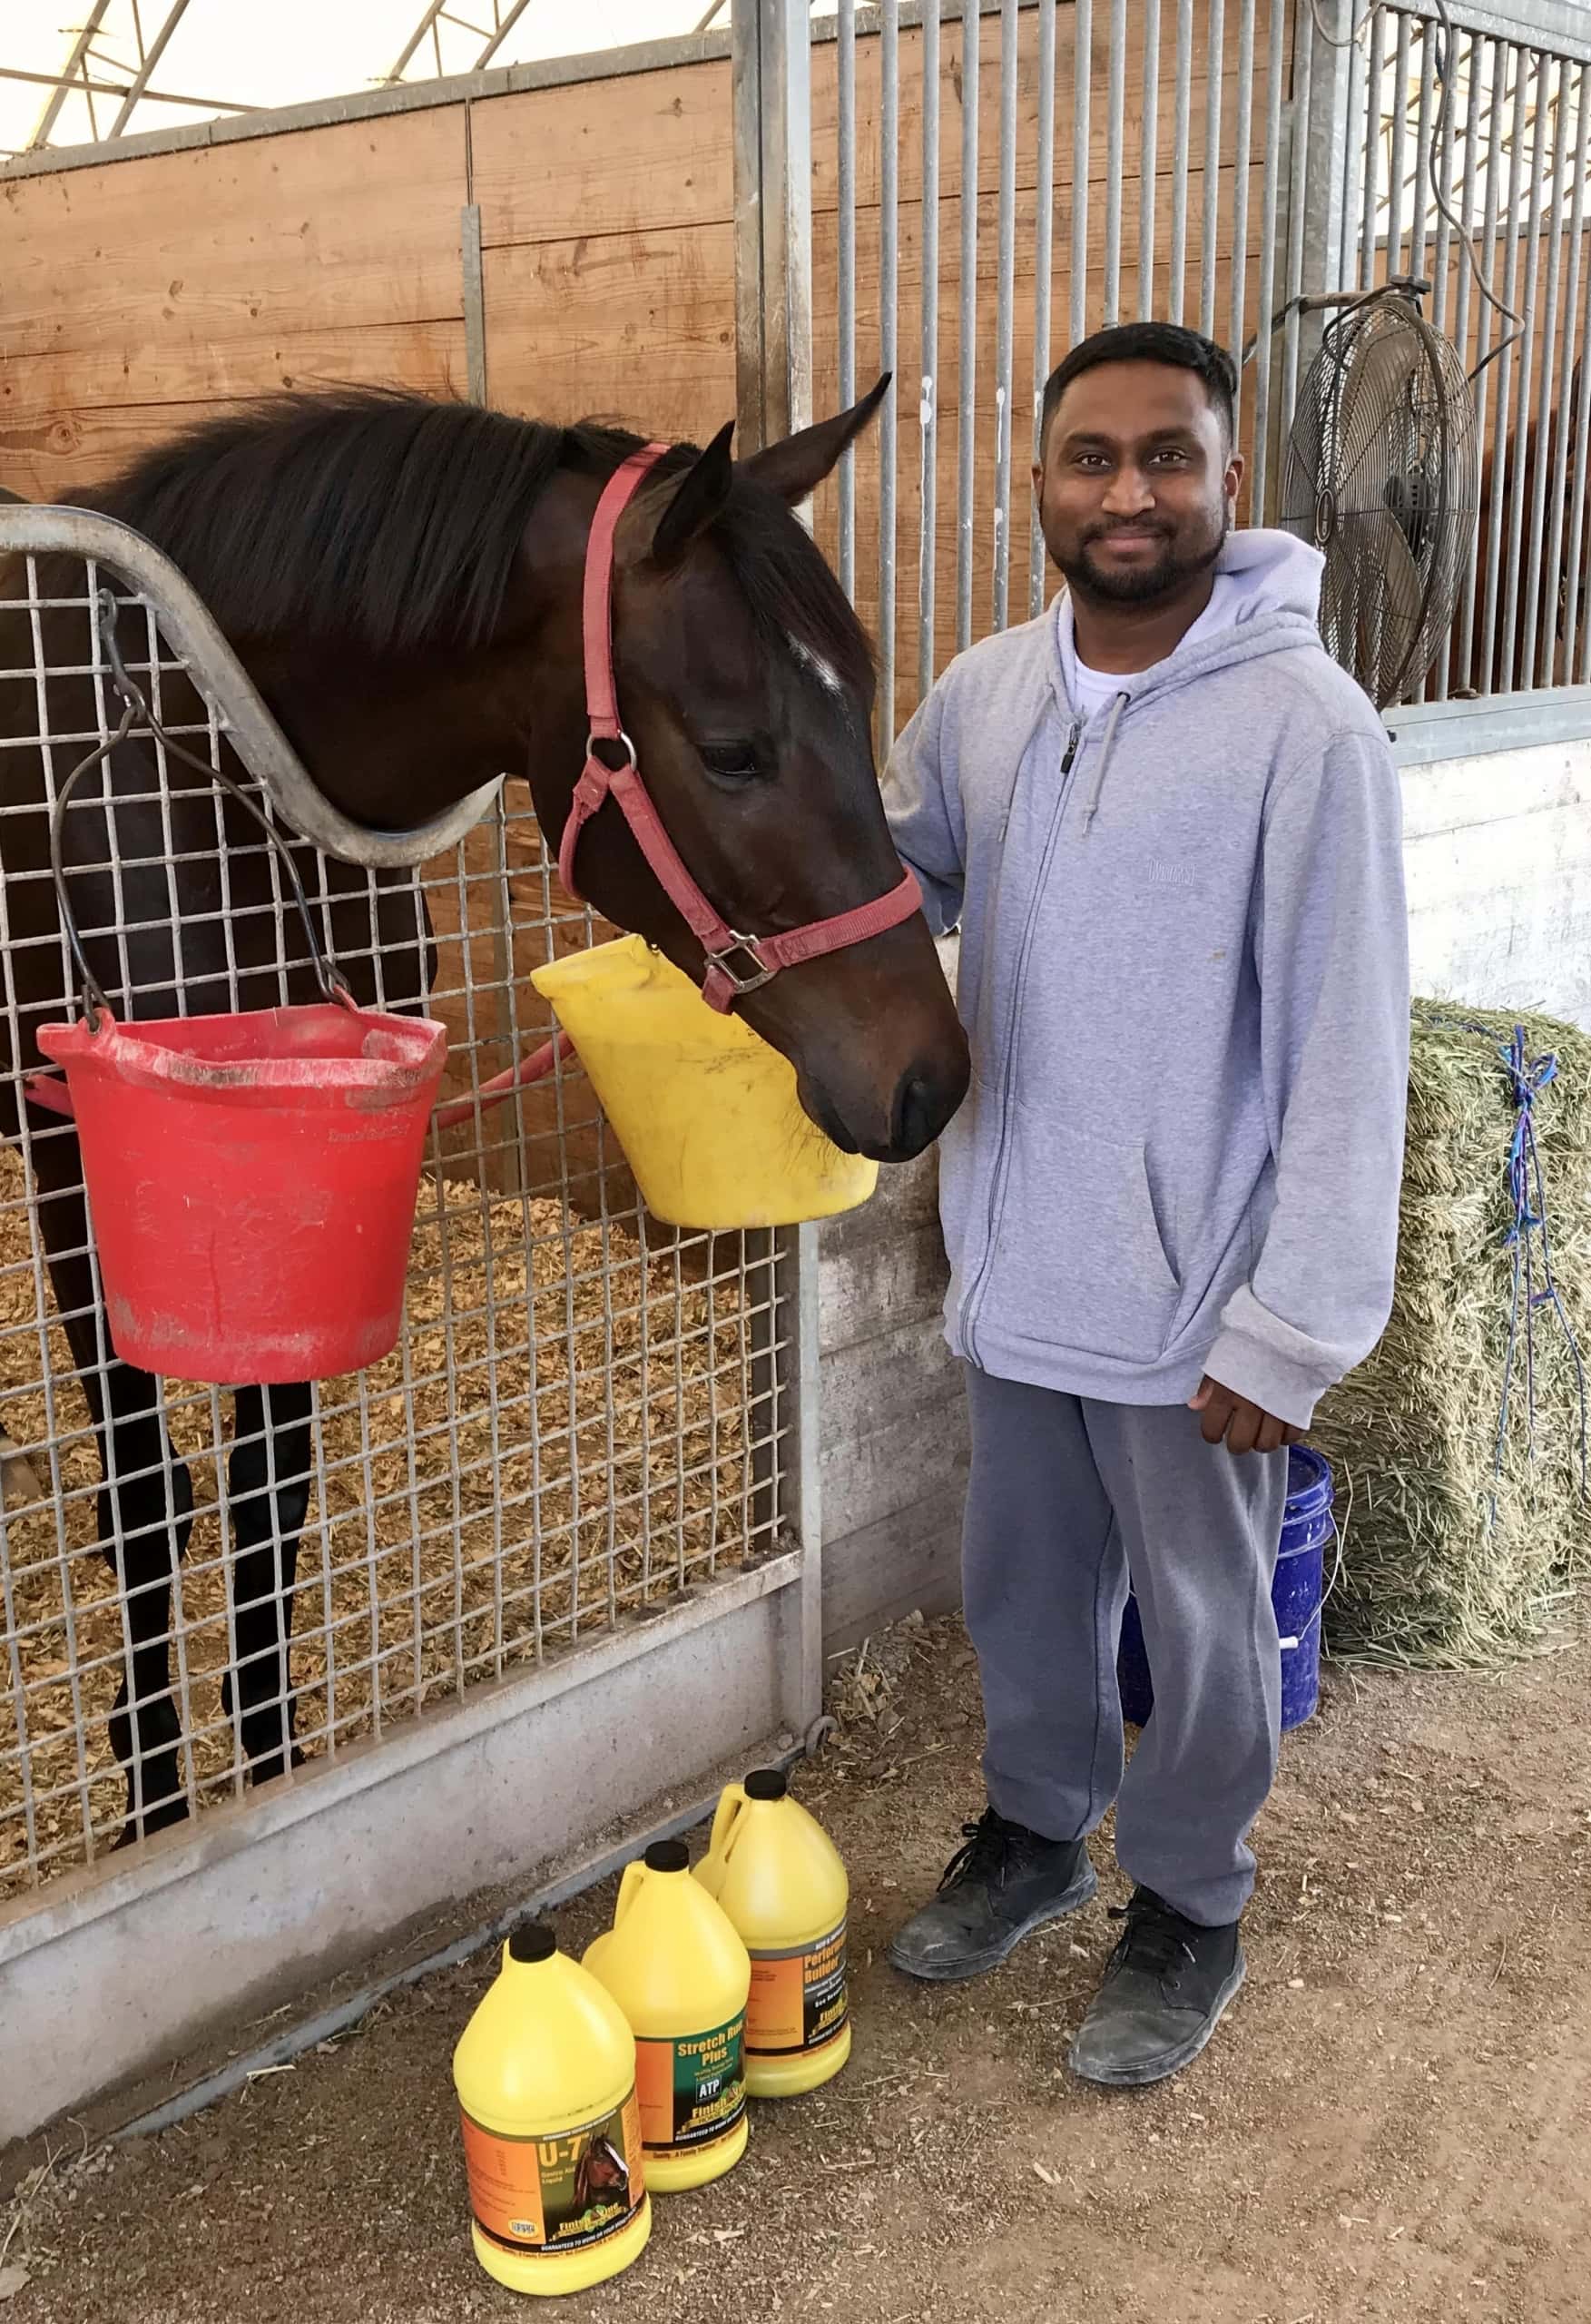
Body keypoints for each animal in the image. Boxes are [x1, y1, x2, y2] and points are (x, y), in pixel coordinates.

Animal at [0, 382, 970, 1851]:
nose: (930, 1079)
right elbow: (145, 1501)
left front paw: (277, 1779)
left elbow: (271, 1488)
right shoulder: (76, 1160)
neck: (190, 770)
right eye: (733, 753)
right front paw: (161, 1808)